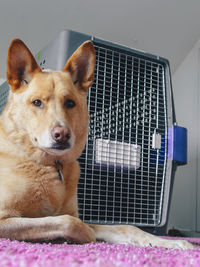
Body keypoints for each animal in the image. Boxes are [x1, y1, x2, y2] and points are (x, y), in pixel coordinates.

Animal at [0, 38, 193, 250]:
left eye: (70, 103)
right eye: (37, 102)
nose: (62, 135)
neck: (50, 165)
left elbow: (127, 227)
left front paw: (171, 242)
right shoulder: (6, 218)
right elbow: (66, 221)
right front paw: (83, 235)